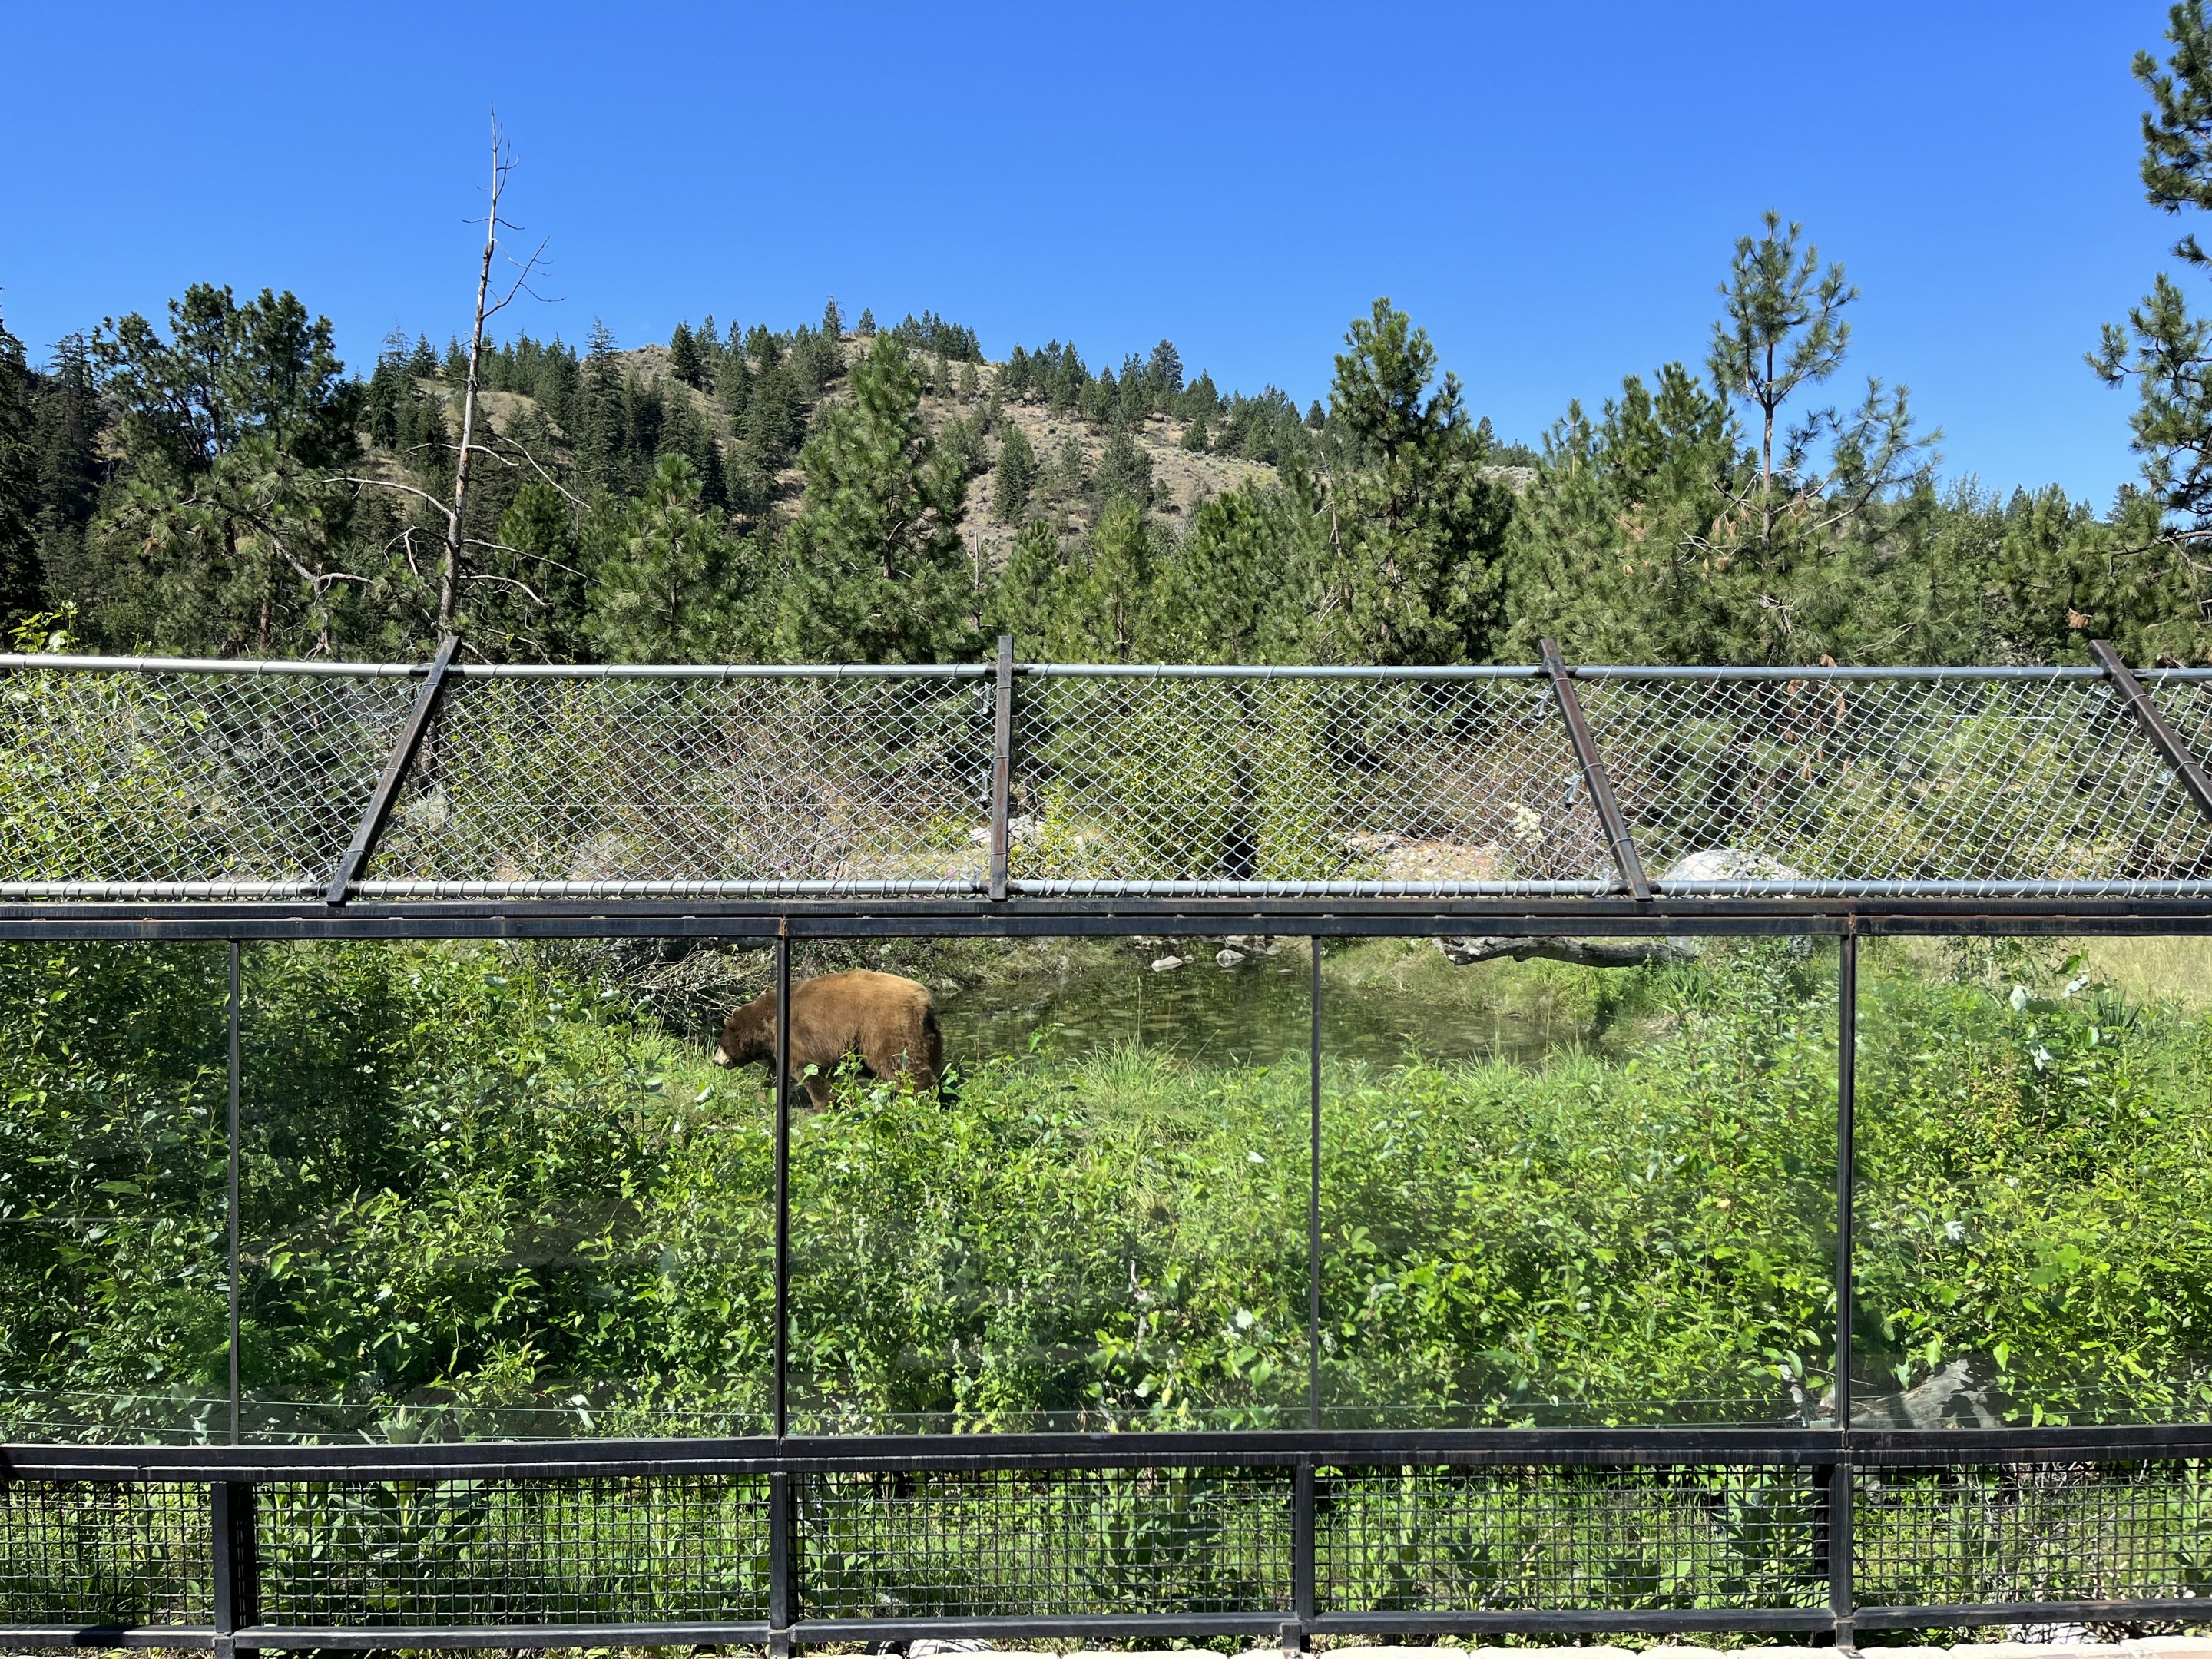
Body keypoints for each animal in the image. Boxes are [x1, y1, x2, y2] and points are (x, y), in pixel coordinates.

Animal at [712, 968, 944, 1109]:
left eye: (721, 1042)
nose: (716, 1060)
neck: (767, 1024)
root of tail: (925, 1002)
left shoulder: (800, 1037)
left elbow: (807, 1070)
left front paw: (821, 1106)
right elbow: (775, 1072)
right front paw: (764, 1096)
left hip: (885, 1028)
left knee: (901, 1065)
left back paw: (917, 1098)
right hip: (929, 1037)